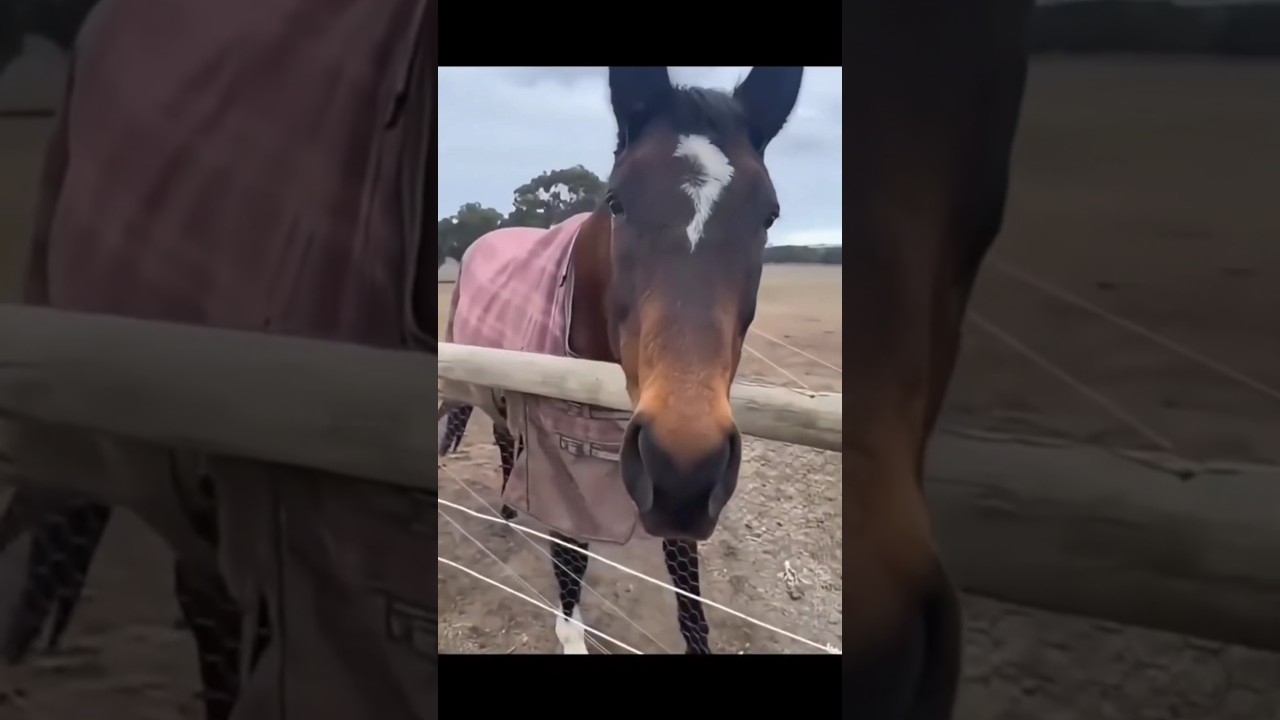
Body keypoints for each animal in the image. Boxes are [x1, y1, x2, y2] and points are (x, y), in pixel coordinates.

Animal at [438, 66, 803, 654]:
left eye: (769, 214)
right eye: (617, 201)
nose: (685, 460)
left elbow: (687, 588)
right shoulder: (565, 456)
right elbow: (569, 560)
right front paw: (570, 631)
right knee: (502, 441)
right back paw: (509, 514)